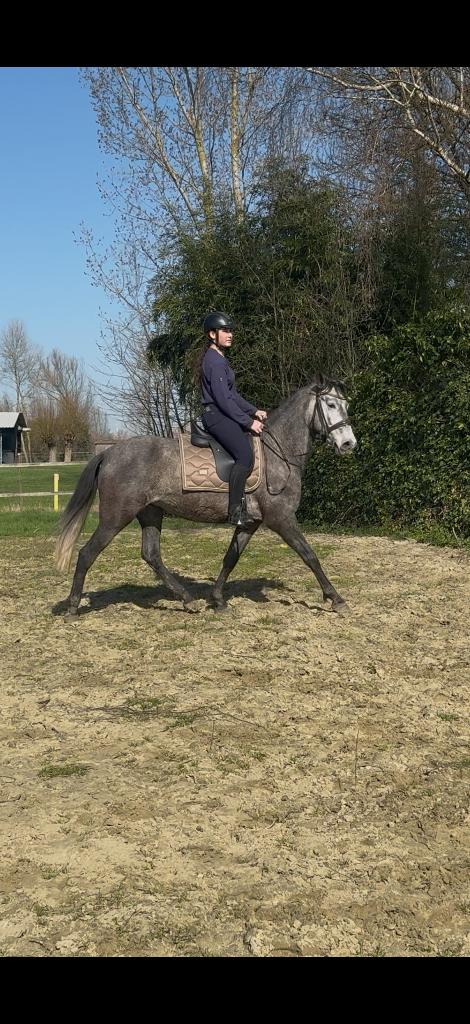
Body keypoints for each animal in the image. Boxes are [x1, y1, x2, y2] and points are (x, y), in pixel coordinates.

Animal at [55, 374, 356, 617]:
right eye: (330, 405)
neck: (278, 453)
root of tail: (108, 453)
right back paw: (73, 607)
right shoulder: (281, 518)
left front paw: (218, 600)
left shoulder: (250, 523)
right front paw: (336, 599)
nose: (348, 444)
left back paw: (188, 599)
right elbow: (309, 555)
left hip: (151, 513)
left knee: (151, 555)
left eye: (346, 406)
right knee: (87, 553)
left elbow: (230, 558)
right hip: (115, 517)